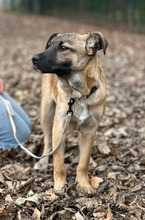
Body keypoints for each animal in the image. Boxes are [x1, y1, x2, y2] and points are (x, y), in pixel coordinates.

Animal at [32, 32, 109, 192]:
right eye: (49, 46)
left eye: (63, 48)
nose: (33, 59)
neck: (80, 95)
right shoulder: (59, 126)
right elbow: (59, 164)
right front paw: (59, 186)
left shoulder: (90, 130)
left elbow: (83, 162)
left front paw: (84, 184)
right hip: (46, 113)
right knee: (48, 140)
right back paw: (43, 161)